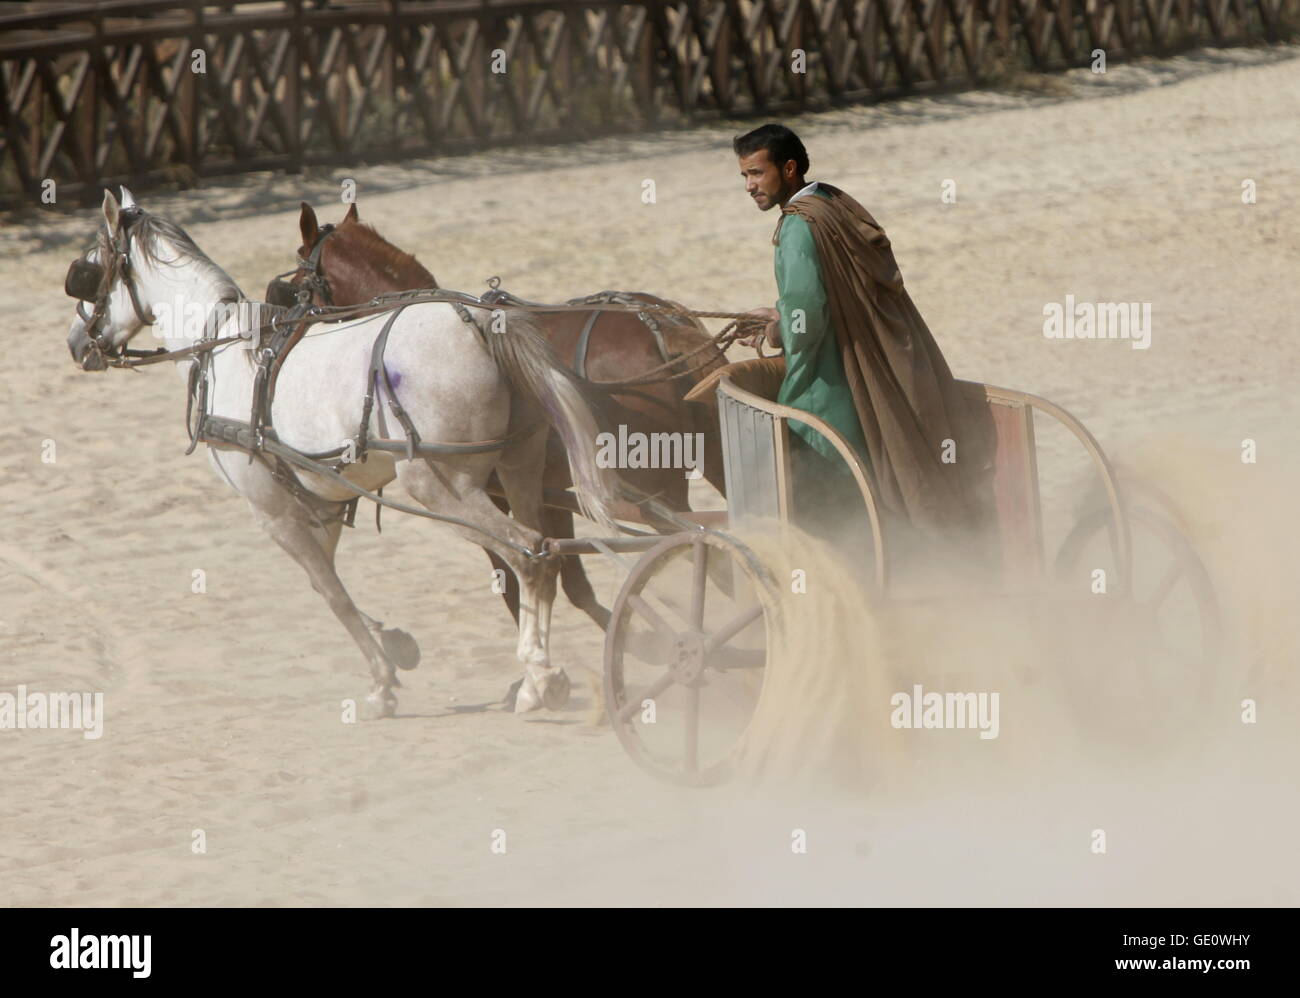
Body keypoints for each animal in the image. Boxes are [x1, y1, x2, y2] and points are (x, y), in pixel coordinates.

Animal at [65, 187, 618, 717]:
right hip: (520, 466)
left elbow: (330, 593)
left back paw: (540, 676)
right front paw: (392, 646)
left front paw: (381, 678)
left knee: (527, 555)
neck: (222, 348)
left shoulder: (272, 510)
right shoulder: (319, 501)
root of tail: (480, 322)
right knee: (549, 557)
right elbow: (330, 585)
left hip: (440, 487)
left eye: (87, 272)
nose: (75, 343)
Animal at [283, 198, 728, 628]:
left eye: (298, 285)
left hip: (659, 490)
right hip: (711, 454)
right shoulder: (550, 494)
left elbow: (518, 585)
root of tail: (659, 326)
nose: (289, 336)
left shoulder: (486, 498)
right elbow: (572, 582)